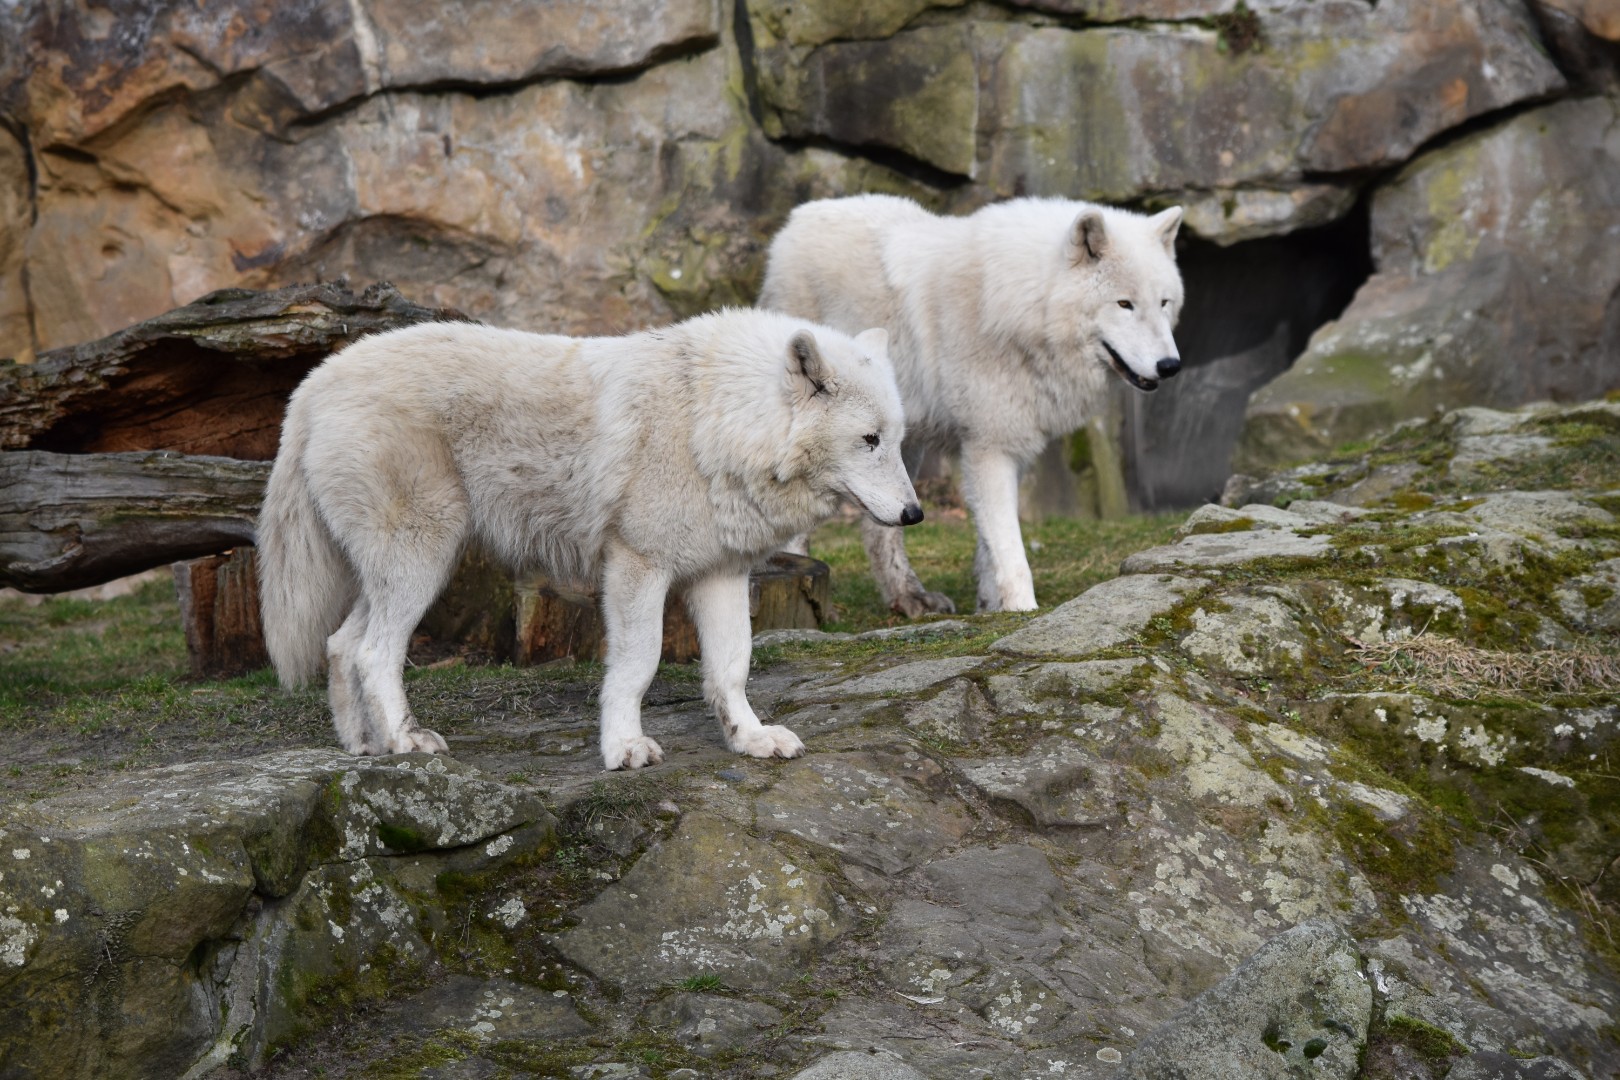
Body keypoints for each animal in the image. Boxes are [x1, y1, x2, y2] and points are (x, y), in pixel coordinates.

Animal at [257, 310, 921, 771]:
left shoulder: (721, 573)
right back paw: (405, 740)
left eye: (895, 439)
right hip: (425, 558)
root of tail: (314, 384)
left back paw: (364, 747)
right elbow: (639, 664)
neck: (713, 421)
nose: (915, 513)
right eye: (868, 441)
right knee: (374, 652)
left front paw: (749, 738)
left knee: (341, 645)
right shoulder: (637, 566)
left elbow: (733, 666)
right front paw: (624, 748)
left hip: (398, 568)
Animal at [760, 195, 1184, 615]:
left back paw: (909, 598)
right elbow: (1009, 547)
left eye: (1164, 303)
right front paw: (1022, 609)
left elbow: (987, 544)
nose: (1170, 366)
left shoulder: (1011, 445)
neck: (1027, 304)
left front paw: (990, 606)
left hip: (897, 449)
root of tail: (800, 217)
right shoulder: (988, 447)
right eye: (1124, 304)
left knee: (881, 529)